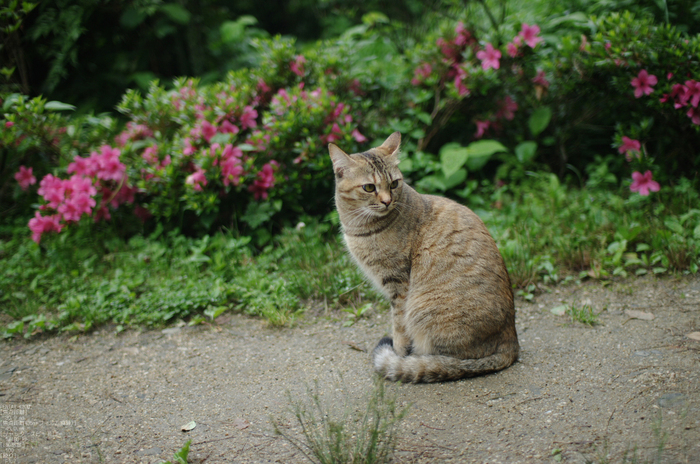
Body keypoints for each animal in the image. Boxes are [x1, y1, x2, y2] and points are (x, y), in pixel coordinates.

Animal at [328, 132, 520, 382]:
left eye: (394, 184)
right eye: (369, 187)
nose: (387, 201)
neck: (359, 228)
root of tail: (511, 343)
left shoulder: (398, 284)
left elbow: (399, 327)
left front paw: (399, 354)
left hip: (424, 311)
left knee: (444, 359)